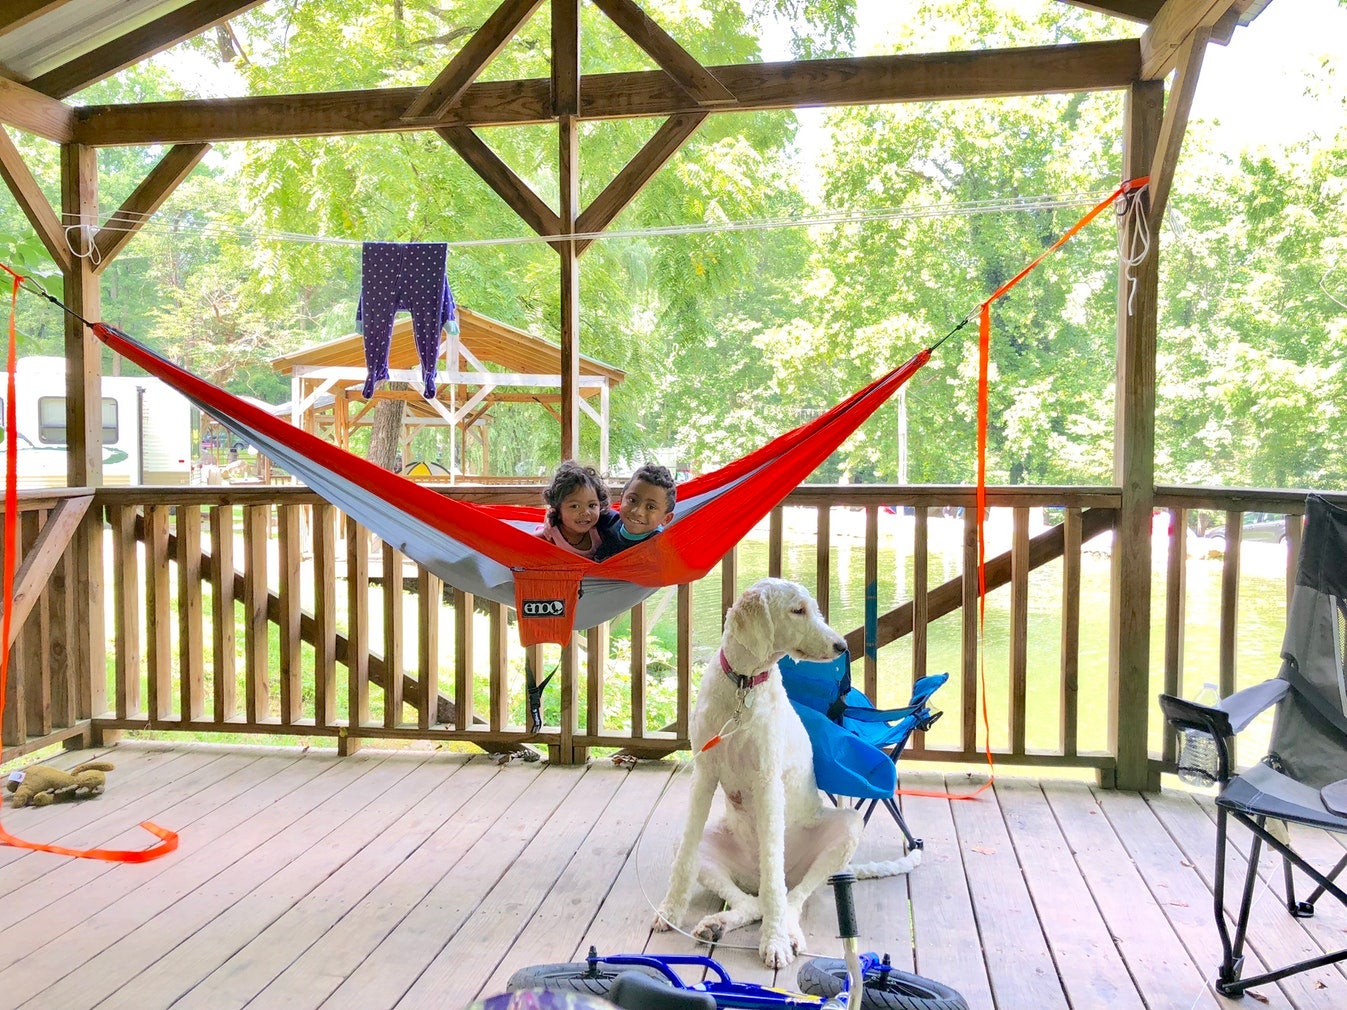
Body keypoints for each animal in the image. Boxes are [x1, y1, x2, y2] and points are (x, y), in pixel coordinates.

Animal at [654, 576, 926, 964]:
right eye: (798, 610)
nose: (842, 645)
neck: (744, 685)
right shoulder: (703, 774)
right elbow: (685, 860)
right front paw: (670, 910)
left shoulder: (767, 781)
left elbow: (773, 867)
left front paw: (775, 941)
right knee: (751, 901)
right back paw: (719, 923)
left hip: (846, 829)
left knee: (786, 896)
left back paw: (787, 929)